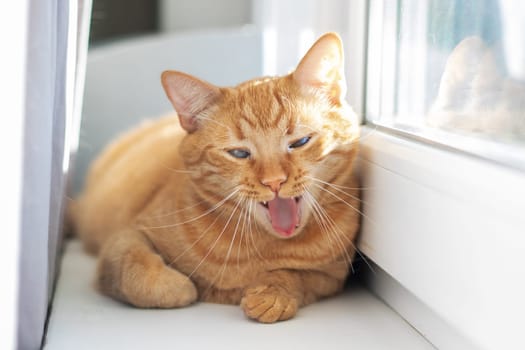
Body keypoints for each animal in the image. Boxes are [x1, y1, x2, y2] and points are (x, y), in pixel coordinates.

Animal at [72, 32, 360, 322]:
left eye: (299, 142)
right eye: (239, 153)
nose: (274, 181)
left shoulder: (331, 276)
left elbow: (294, 275)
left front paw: (274, 293)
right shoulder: (128, 235)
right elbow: (135, 269)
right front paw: (178, 286)